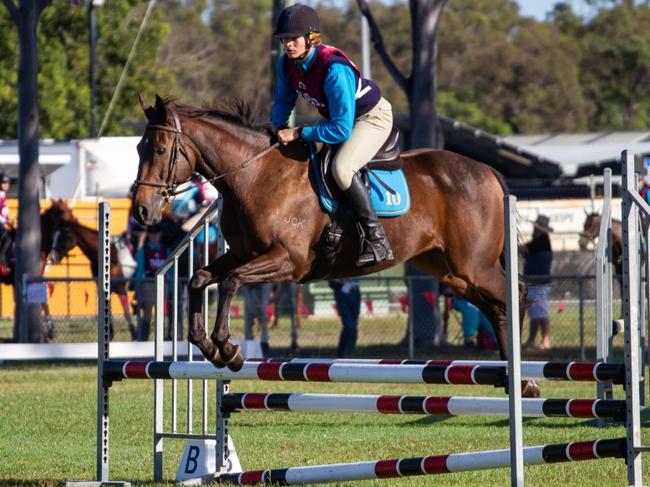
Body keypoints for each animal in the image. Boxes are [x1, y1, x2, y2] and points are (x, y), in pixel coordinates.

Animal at [45, 198, 139, 340]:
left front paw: (134, 334)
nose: (52, 258)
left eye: (65, 236)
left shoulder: (121, 288)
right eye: (54, 236)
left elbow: (127, 313)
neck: (110, 256)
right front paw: (110, 334)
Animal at [132, 97, 532, 394]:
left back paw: (524, 377)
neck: (255, 175)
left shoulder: (287, 261)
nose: (141, 210)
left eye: (161, 149)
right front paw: (208, 346)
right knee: (495, 305)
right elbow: (199, 277)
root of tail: (487, 171)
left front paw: (228, 349)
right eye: (138, 148)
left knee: (514, 294)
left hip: (474, 265)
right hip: (449, 271)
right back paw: (512, 376)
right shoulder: (244, 254)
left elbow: (231, 281)